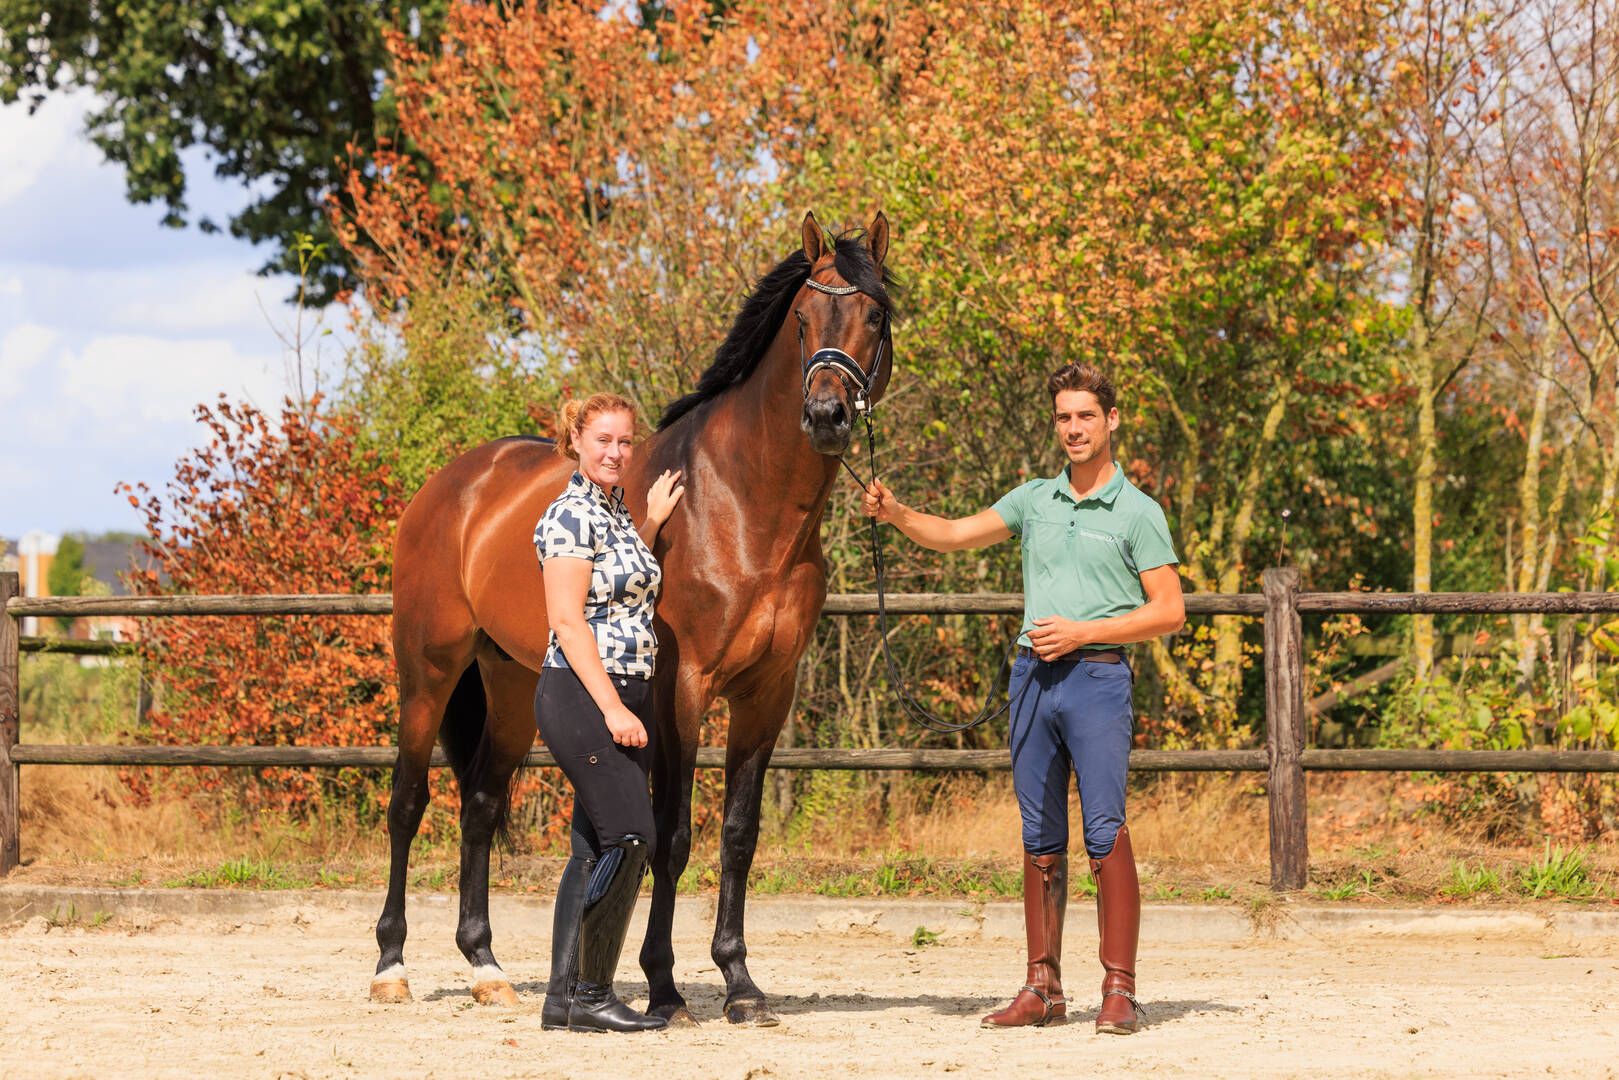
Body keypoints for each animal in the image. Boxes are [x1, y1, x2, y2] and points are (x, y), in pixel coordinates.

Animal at [370, 211, 895, 1026]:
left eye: (872, 316)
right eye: (802, 319)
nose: (825, 416)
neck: (740, 505)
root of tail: (452, 483)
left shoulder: (767, 694)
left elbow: (738, 835)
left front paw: (740, 983)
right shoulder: (683, 689)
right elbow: (672, 835)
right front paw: (665, 985)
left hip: (511, 682)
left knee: (481, 803)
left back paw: (486, 967)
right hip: (428, 669)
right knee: (407, 801)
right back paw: (391, 966)